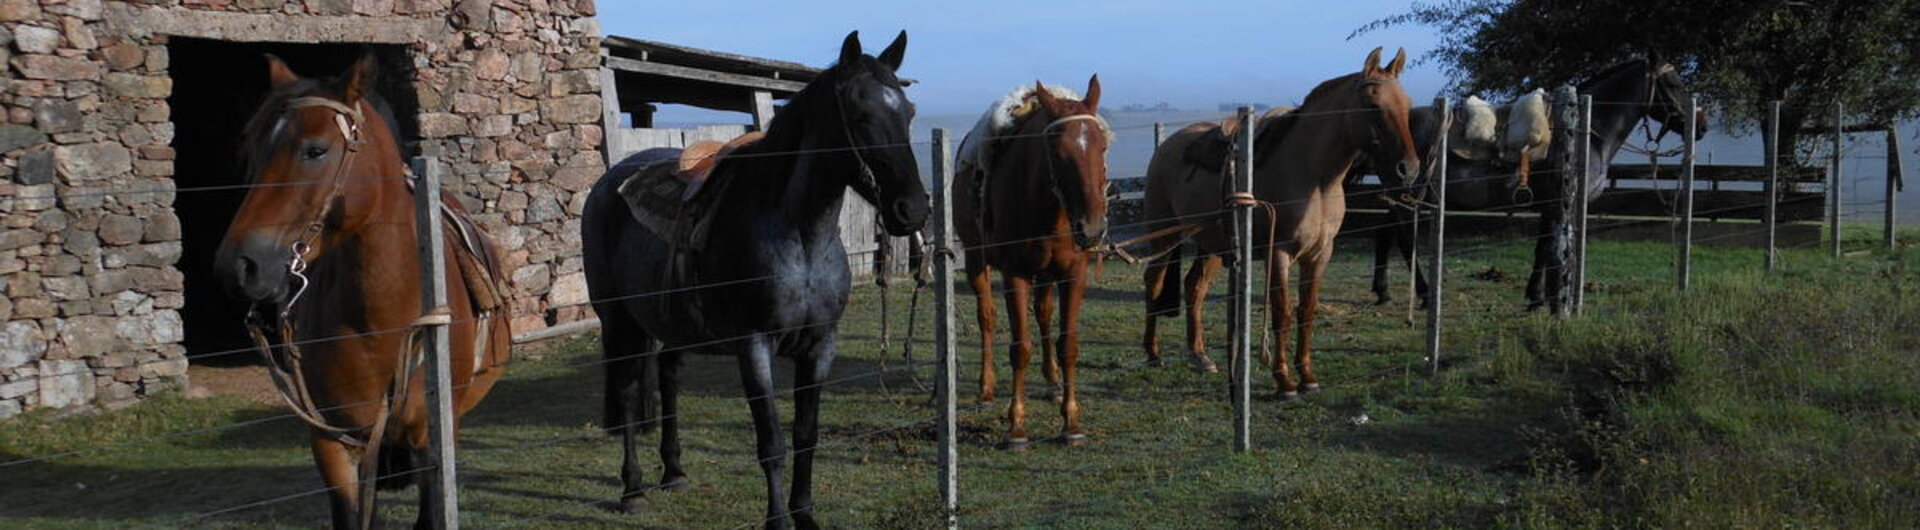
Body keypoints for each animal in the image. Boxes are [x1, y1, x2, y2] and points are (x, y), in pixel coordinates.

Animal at [212, 54, 511, 529]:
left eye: (315, 150)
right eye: (252, 151)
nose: (238, 266)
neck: (380, 324)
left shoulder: (431, 441)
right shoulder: (332, 443)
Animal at [581, 31, 928, 529]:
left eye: (909, 112)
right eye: (861, 114)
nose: (912, 210)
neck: (799, 235)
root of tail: (609, 184)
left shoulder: (820, 345)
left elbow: (806, 435)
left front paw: (805, 515)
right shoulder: (754, 345)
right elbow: (772, 443)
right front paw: (778, 520)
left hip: (674, 326)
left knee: (668, 374)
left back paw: (675, 471)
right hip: (617, 321)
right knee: (628, 392)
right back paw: (633, 490)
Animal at [953, 77, 1111, 449]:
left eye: (1102, 148)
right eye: (1057, 152)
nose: (1092, 228)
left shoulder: (1072, 274)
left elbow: (1068, 344)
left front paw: (1071, 422)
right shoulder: (1016, 275)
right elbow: (1019, 348)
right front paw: (1016, 427)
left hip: (1046, 273)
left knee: (1043, 313)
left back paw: (1052, 382)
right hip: (976, 259)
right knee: (987, 318)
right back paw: (986, 388)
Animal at [1140, 47, 1419, 397]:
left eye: (1407, 105)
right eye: (1373, 105)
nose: (1408, 169)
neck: (1315, 178)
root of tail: (1167, 146)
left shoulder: (1320, 255)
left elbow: (1307, 310)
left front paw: (1308, 376)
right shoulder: (1279, 254)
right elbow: (1282, 313)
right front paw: (1284, 380)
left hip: (1212, 243)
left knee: (1194, 287)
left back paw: (1200, 356)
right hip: (1163, 235)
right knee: (1154, 282)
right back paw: (1152, 353)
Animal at [1364, 58, 1701, 310]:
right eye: (1674, 84)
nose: (1702, 125)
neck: (1584, 133)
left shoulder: (1548, 205)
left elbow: (1542, 247)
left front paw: (1536, 296)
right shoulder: (1556, 202)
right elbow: (1550, 248)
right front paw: (1548, 297)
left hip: (1401, 194)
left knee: (1385, 234)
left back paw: (1384, 292)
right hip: (1406, 195)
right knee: (1405, 240)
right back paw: (1423, 294)